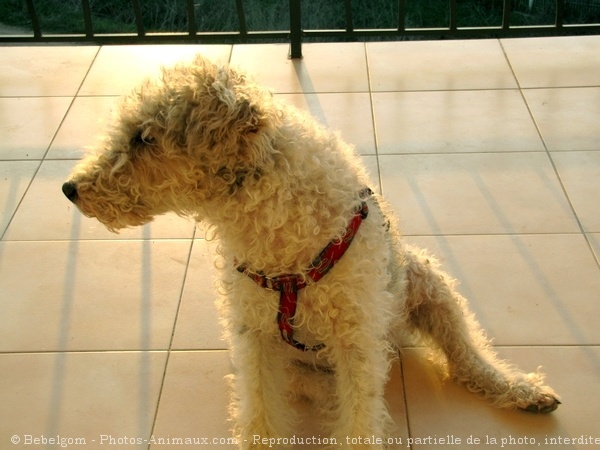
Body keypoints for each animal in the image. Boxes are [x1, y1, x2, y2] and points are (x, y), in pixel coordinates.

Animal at [63, 54, 560, 448]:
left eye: (144, 137)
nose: (70, 189)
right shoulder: (255, 336)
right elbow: (262, 416)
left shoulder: (355, 338)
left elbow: (359, 422)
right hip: (312, 363)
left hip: (428, 284)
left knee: (465, 358)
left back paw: (522, 389)